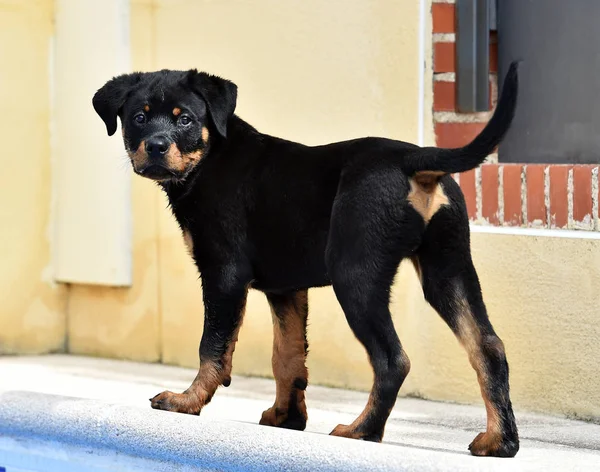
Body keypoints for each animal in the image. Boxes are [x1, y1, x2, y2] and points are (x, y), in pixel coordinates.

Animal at [92, 60, 520, 456]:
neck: (210, 156)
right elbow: (288, 356)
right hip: (447, 269)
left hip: (355, 274)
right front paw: (287, 417)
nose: (156, 147)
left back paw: (362, 430)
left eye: (185, 120)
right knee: (488, 347)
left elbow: (212, 347)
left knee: (393, 359)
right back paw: (500, 441)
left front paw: (187, 402)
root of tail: (412, 159)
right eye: (139, 118)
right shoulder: (286, 288)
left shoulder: (223, 274)